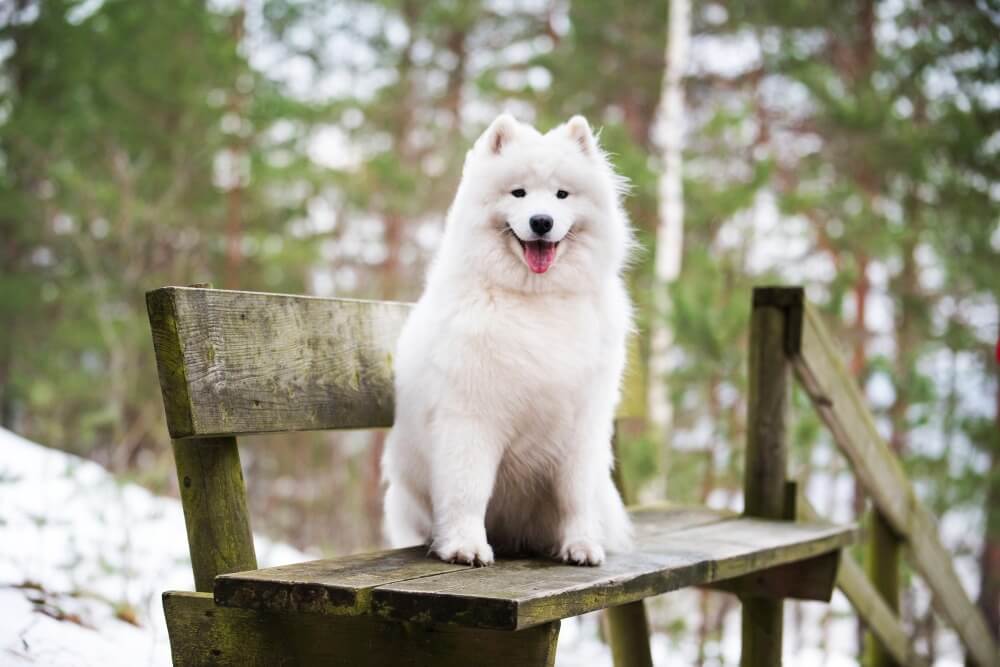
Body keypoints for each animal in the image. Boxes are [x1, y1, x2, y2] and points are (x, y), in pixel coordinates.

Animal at [382, 112, 632, 568]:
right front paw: (466, 546)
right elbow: (468, 489)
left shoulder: (583, 426)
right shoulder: (471, 417)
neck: (535, 300)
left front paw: (581, 545)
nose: (541, 221)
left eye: (562, 194)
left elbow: (576, 494)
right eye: (519, 192)